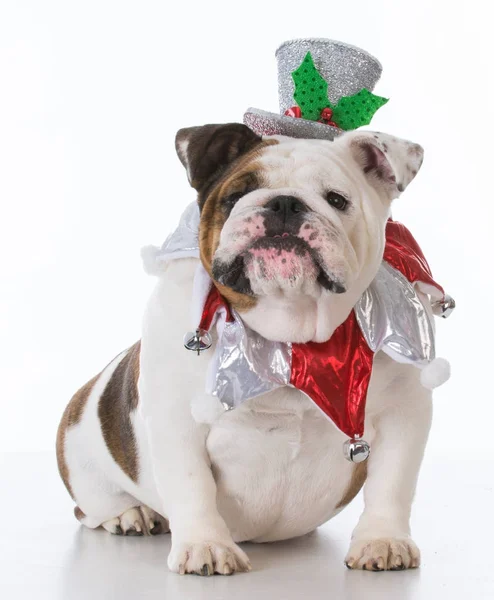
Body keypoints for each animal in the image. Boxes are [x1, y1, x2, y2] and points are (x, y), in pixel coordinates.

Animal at [56, 123, 430, 576]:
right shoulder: (175, 420)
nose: (285, 203)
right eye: (236, 196)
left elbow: (392, 484)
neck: (288, 339)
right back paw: (131, 514)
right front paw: (206, 546)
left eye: (337, 200)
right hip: (81, 455)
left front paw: (383, 541)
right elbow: (192, 484)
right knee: (91, 508)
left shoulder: (404, 416)